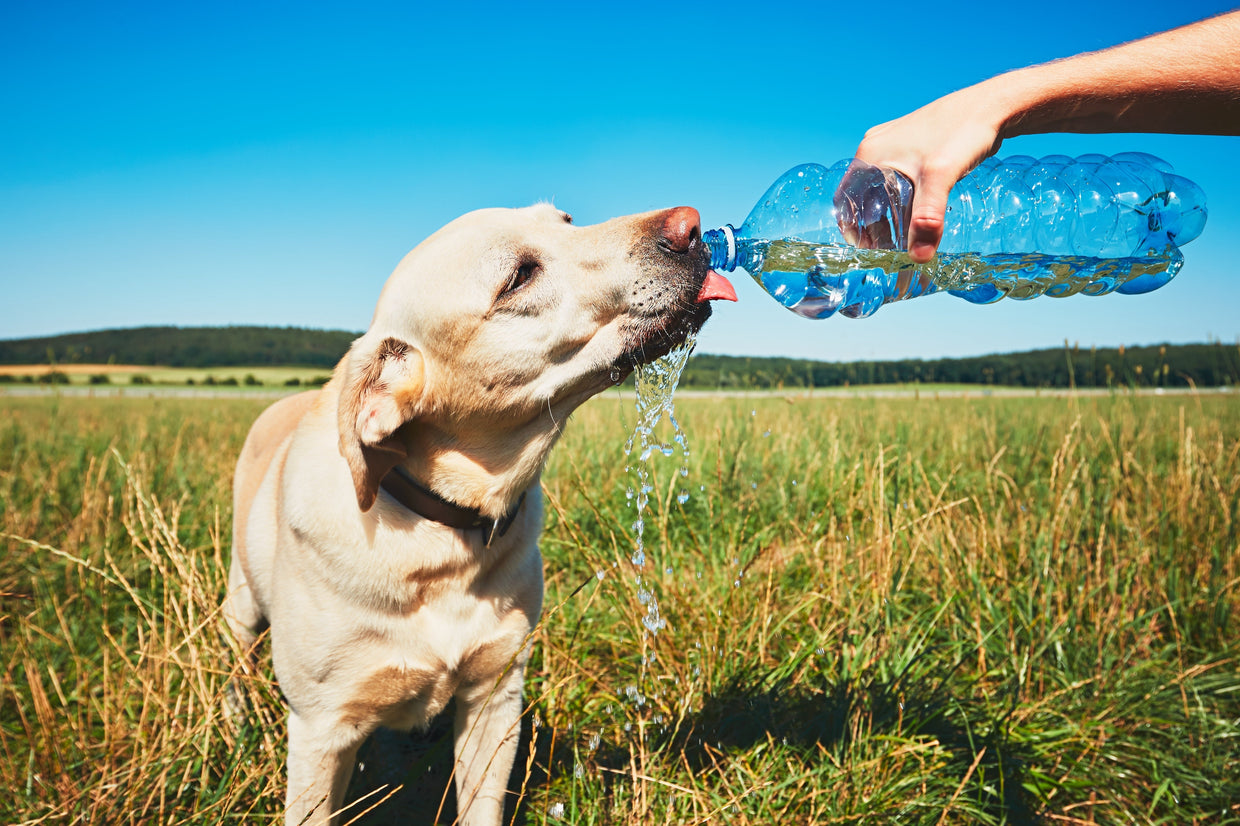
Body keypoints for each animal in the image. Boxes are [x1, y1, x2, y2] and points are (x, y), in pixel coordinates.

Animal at [224, 200, 734, 823]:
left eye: (566, 220)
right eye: (518, 277)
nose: (691, 224)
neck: (441, 534)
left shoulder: (495, 697)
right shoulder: (322, 729)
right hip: (241, 605)